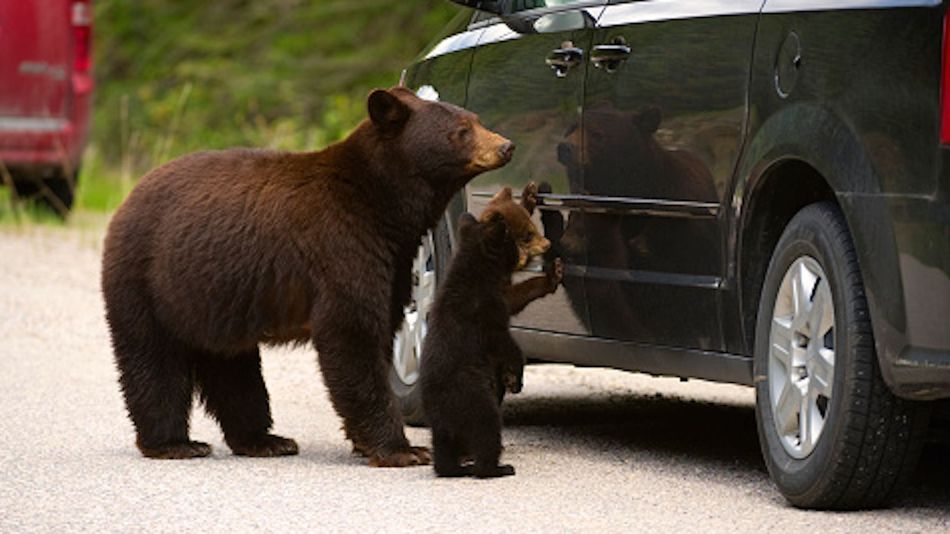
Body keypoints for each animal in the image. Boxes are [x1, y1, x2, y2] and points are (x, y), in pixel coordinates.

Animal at [102, 86, 512, 466]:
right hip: (145, 279)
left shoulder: (393, 261)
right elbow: (351, 336)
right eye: (462, 131)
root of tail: (129, 197)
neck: (384, 205)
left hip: (216, 298)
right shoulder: (341, 245)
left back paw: (264, 439)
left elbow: (380, 330)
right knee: (152, 359)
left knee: (232, 365)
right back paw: (174, 443)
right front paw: (401, 449)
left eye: (475, 119)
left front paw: (369, 443)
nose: (506, 146)